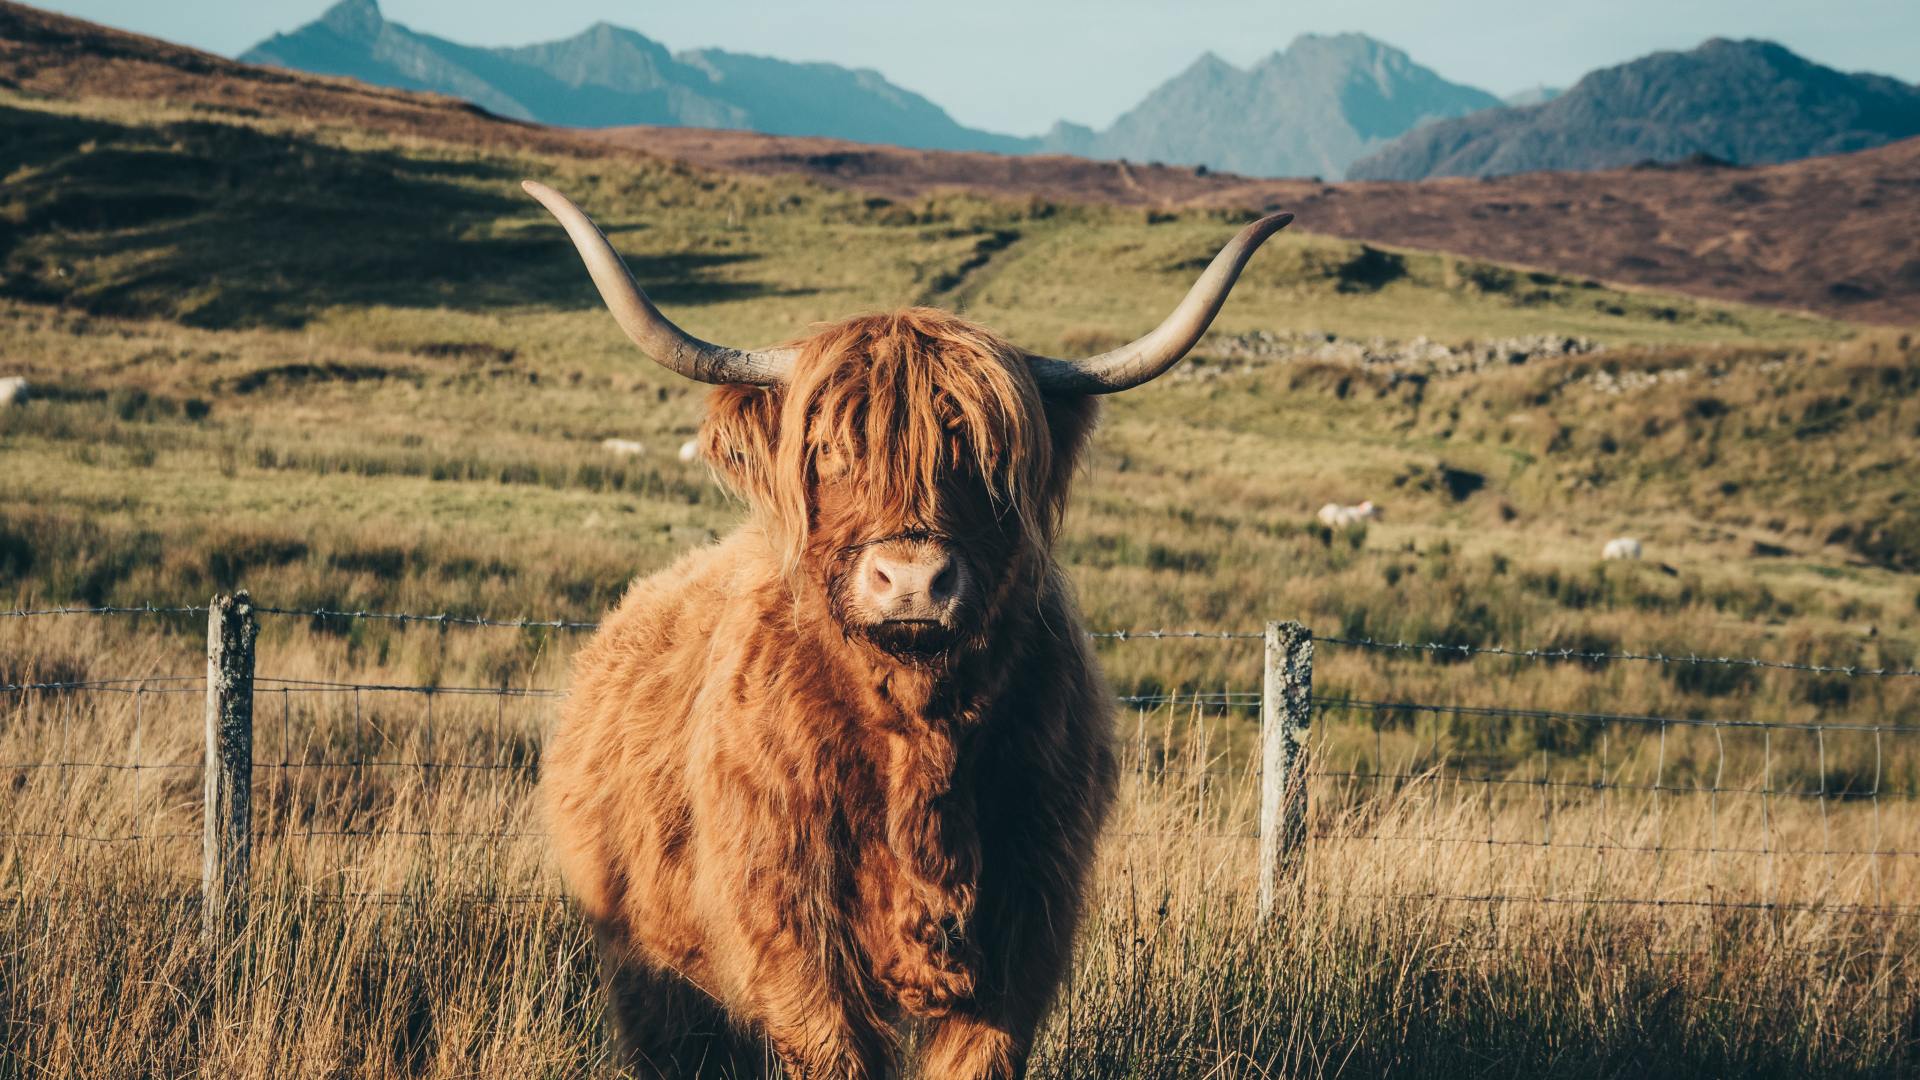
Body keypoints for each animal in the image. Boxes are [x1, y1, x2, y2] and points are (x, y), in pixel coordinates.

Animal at [525, 181, 1291, 1079]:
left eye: (984, 458)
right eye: (828, 448)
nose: (914, 581)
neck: (919, 735)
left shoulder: (1029, 920)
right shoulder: (789, 927)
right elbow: (833, 1051)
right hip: (649, 966)